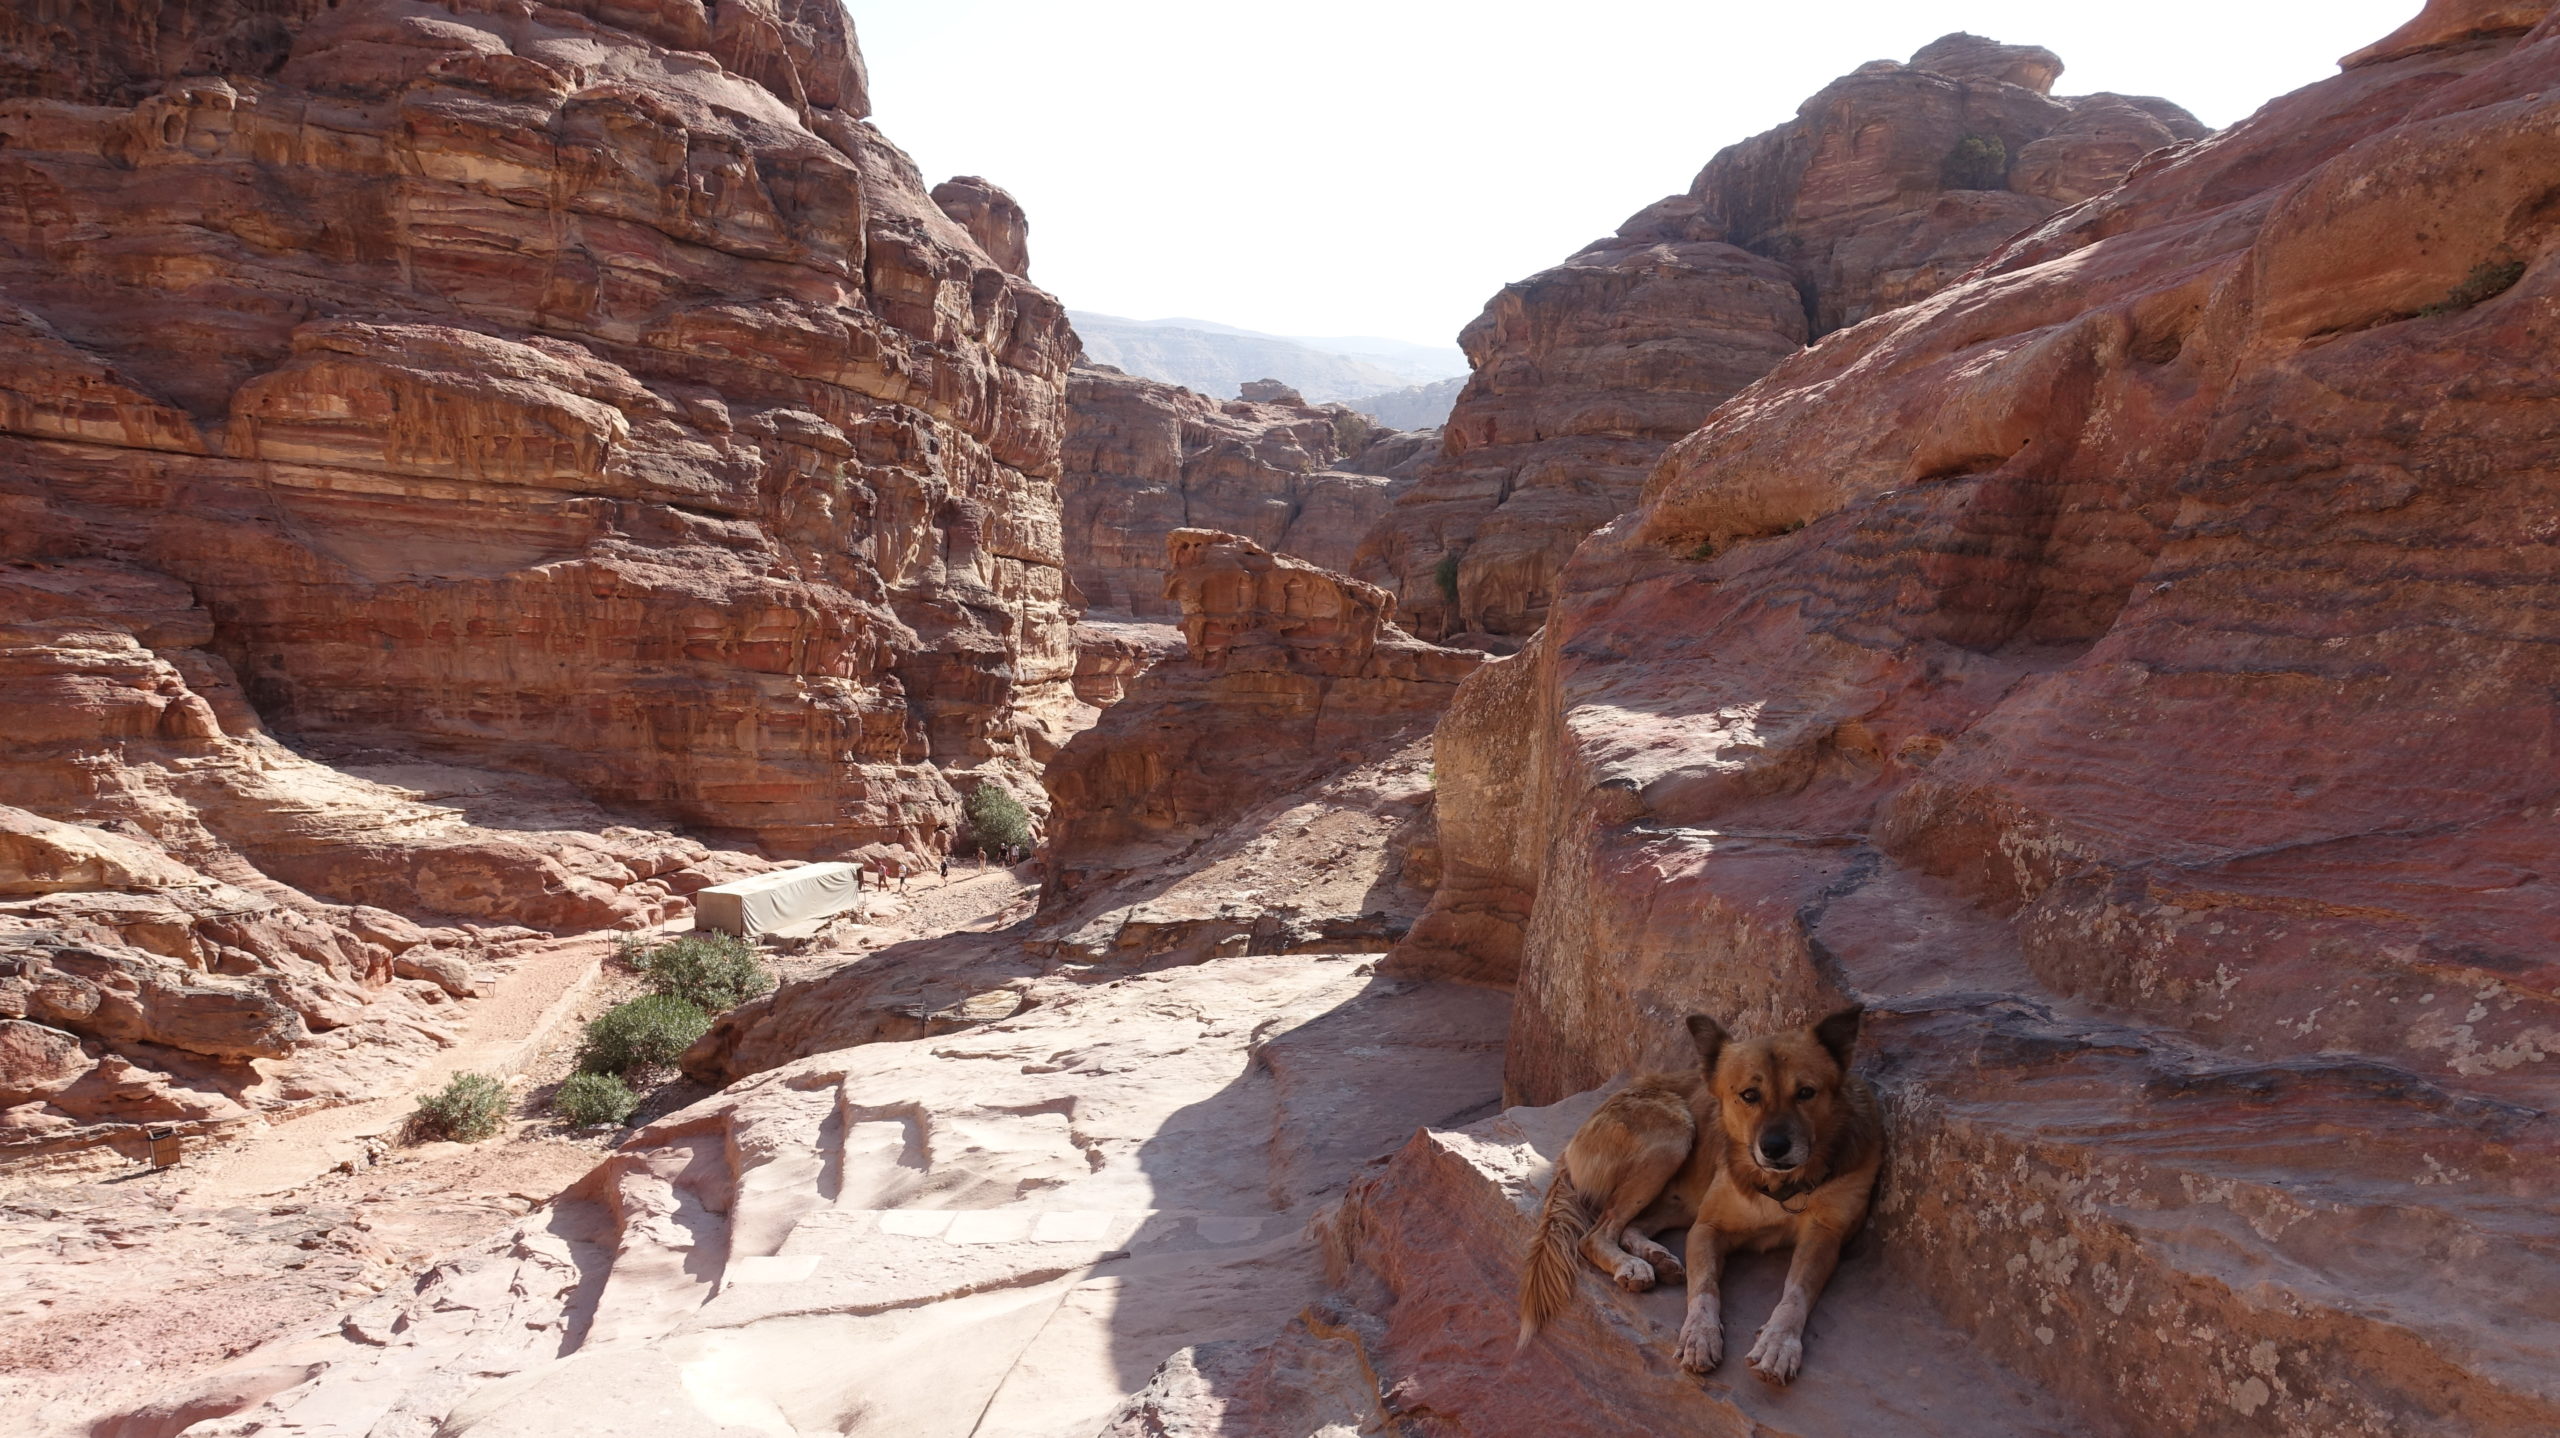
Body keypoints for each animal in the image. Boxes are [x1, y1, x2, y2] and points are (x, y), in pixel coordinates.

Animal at [1515, 1003, 1884, 1381]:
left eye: (1806, 1093)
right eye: (1750, 1095)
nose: (1774, 1148)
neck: (1781, 1185)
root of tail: (1570, 1147)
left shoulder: (1825, 1236)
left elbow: (1795, 1295)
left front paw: (1778, 1345)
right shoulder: (1707, 1229)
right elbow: (1704, 1289)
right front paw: (1700, 1337)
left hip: (1679, 1195)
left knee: (1630, 1226)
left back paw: (1656, 1256)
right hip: (1676, 1133)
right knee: (1596, 1234)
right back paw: (1632, 1264)